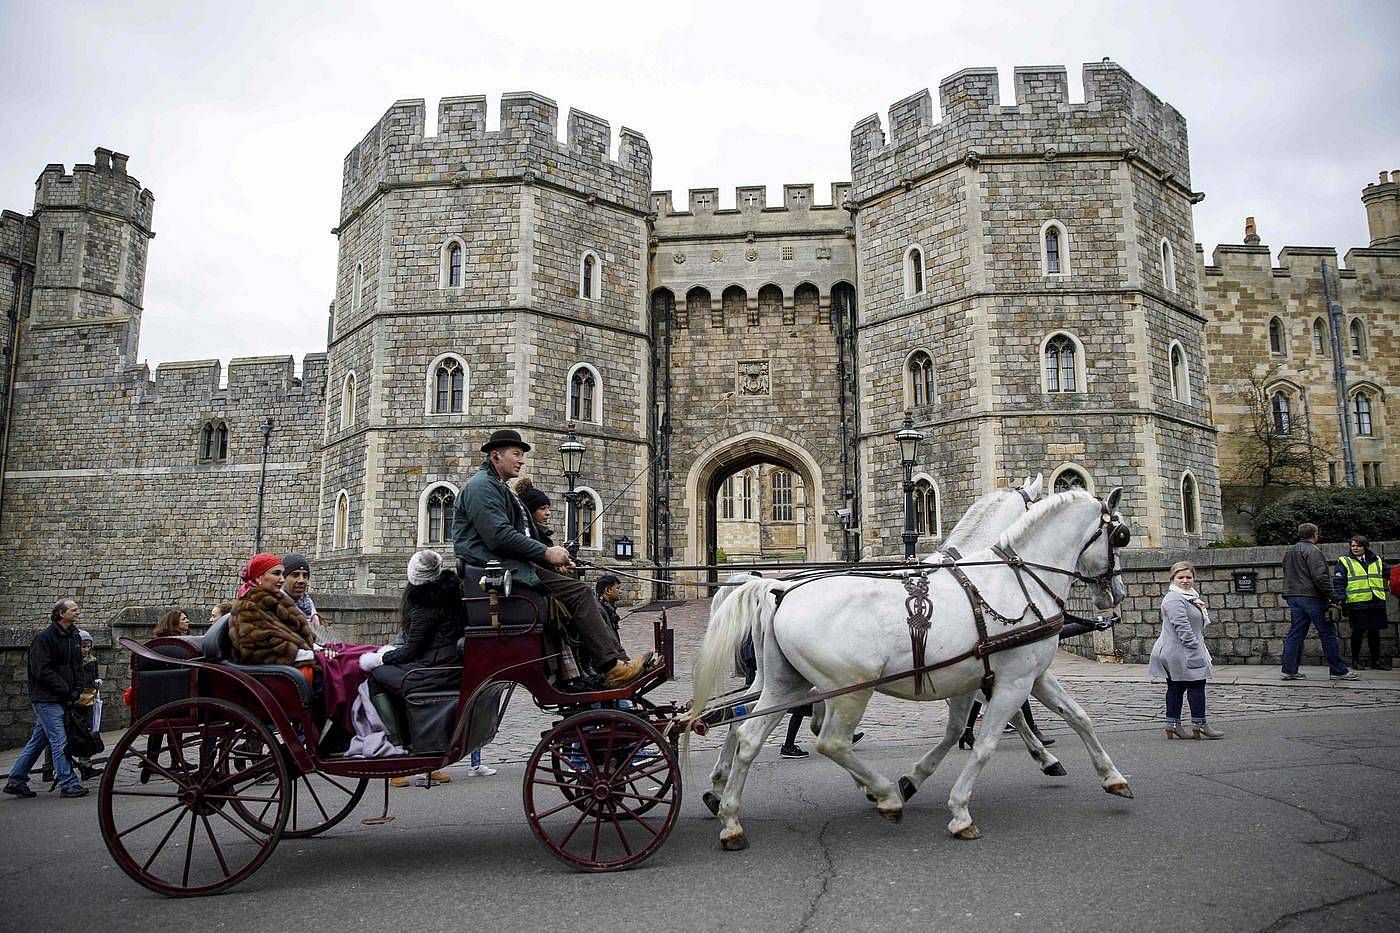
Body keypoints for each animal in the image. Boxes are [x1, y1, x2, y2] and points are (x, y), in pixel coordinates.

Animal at [694, 487, 1131, 840]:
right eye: (1120, 536)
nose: (1118, 594)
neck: (1012, 582)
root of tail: (780, 589)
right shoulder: (1011, 679)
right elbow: (986, 741)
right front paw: (959, 809)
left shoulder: (1007, 675)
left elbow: (1075, 717)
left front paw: (1111, 776)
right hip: (848, 689)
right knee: (828, 740)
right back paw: (884, 794)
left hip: (787, 682)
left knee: (746, 732)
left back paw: (730, 814)